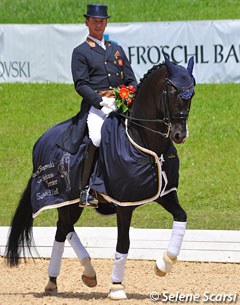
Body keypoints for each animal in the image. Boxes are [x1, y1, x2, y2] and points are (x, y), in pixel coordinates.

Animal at [5, 56, 195, 300]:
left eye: (192, 93)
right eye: (171, 91)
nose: (180, 135)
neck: (144, 141)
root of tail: (41, 140)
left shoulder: (164, 193)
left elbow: (181, 217)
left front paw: (163, 264)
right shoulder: (124, 205)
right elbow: (123, 243)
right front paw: (116, 287)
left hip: (71, 203)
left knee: (62, 229)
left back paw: (57, 281)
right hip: (62, 198)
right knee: (64, 226)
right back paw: (85, 272)